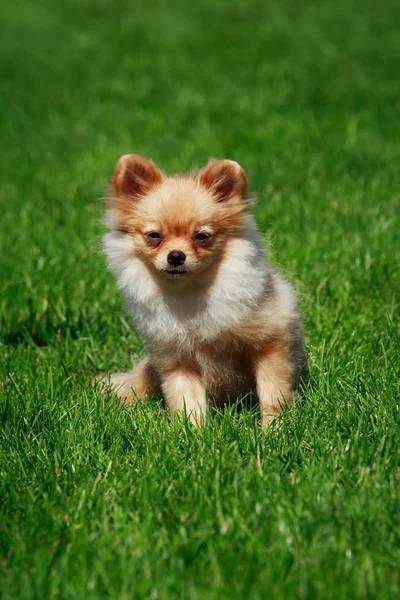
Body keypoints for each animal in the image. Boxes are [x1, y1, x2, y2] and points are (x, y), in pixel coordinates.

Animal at [100, 155, 306, 426]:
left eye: (201, 236)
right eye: (154, 236)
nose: (176, 256)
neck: (189, 292)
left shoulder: (269, 343)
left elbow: (273, 392)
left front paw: (275, 427)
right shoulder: (178, 361)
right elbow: (187, 402)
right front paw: (195, 432)